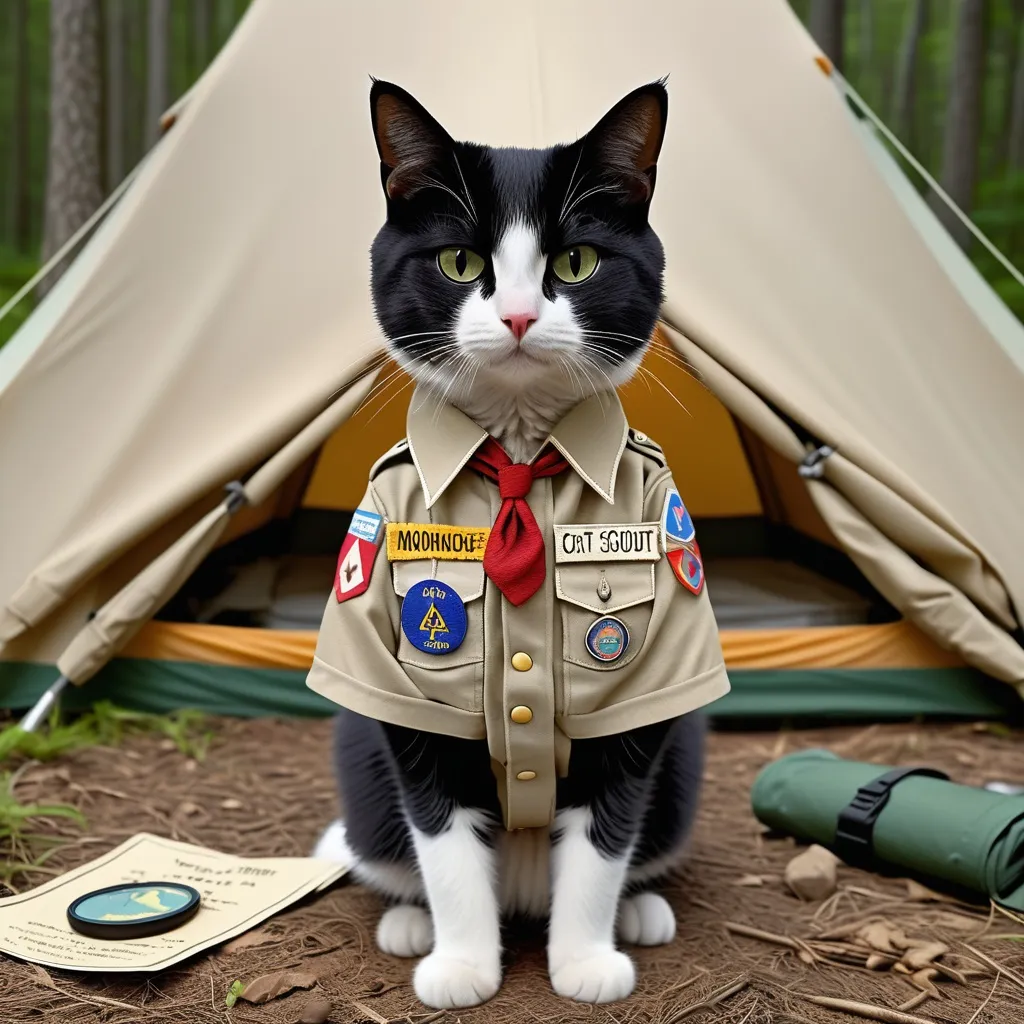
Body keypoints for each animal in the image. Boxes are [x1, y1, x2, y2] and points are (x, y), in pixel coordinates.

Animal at [315, 77, 708, 1007]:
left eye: (578, 263)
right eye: (460, 263)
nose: (523, 315)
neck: (522, 456)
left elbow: (608, 817)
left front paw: (585, 959)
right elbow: (441, 826)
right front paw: (462, 962)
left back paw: (640, 910)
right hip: (358, 759)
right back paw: (409, 919)